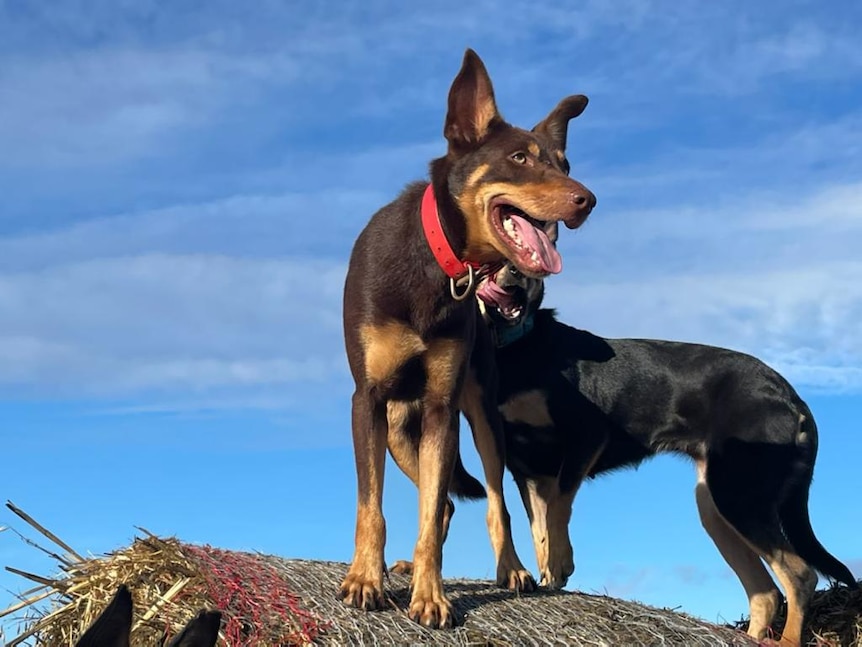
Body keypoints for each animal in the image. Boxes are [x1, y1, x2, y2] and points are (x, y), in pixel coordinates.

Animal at [340, 49, 596, 628]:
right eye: (520, 158)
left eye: (564, 164)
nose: (587, 201)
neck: (438, 265)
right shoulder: (367, 400)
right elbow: (372, 506)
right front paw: (365, 579)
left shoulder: (443, 407)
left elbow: (435, 512)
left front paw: (431, 597)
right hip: (397, 430)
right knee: (446, 503)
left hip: (479, 418)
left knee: (491, 500)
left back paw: (512, 570)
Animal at [476, 264, 860, 647]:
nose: (516, 276)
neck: (517, 346)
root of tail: (791, 397)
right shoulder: (527, 472)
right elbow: (539, 530)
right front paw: (546, 578)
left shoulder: (585, 435)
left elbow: (557, 513)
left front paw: (559, 566)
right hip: (715, 506)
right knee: (765, 593)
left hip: (738, 496)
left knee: (800, 575)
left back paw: (787, 640)